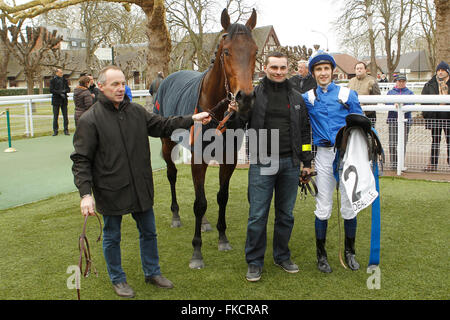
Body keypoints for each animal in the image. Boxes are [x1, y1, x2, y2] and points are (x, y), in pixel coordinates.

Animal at [154, 8, 256, 268]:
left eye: (255, 51)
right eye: (227, 51)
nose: (245, 97)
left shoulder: (228, 159)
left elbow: (221, 196)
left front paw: (222, 237)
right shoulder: (197, 158)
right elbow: (199, 203)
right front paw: (197, 252)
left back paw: (206, 223)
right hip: (168, 143)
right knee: (172, 175)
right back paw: (176, 215)